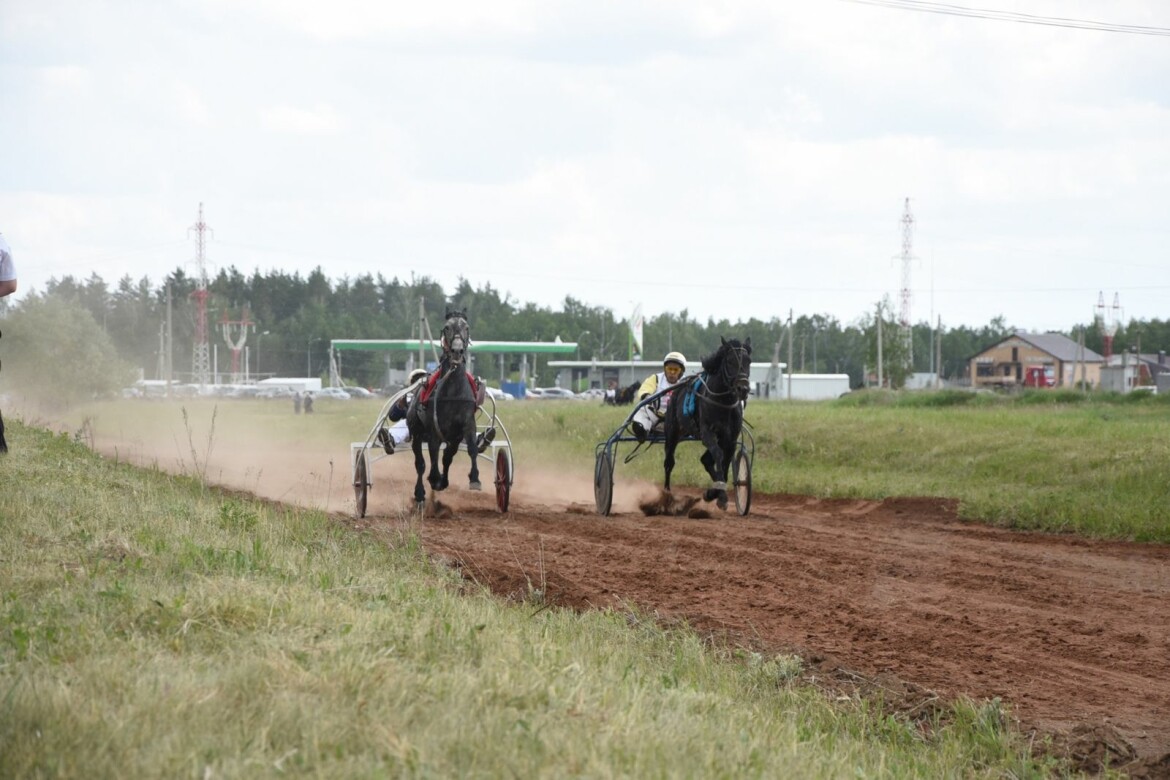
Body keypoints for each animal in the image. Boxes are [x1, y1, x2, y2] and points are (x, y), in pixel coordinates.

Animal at [409, 311, 482, 507]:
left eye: (466, 327)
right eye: (447, 327)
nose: (457, 350)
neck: (453, 390)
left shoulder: (465, 426)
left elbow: (469, 449)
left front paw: (474, 478)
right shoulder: (434, 428)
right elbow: (433, 452)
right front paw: (435, 478)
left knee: (446, 456)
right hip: (416, 433)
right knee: (420, 463)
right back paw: (420, 492)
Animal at [659, 336, 748, 509]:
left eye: (749, 361)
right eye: (730, 361)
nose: (744, 389)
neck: (723, 402)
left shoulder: (730, 438)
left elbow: (725, 461)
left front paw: (714, 492)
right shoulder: (707, 433)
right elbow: (719, 456)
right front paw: (721, 496)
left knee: (706, 460)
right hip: (672, 433)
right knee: (669, 463)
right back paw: (666, 494)